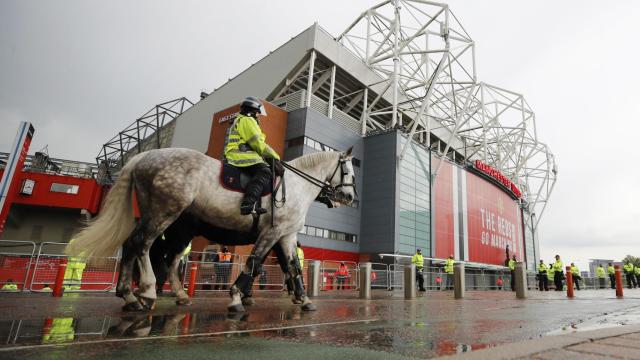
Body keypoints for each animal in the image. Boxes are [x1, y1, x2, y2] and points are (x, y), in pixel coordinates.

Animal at [67, 148, 358, 310]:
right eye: (349, 172)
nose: (350, 198)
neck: (297, 185)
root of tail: (143, 156)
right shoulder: (273, 233)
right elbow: (254, 262)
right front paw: (237, 297)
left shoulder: (286, 235)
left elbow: (293, 267)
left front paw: (304, 300)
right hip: (165, 212)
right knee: (144, 245)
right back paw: (146, 291)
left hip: (168, 222)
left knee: (149, 251)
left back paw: (138, 296)